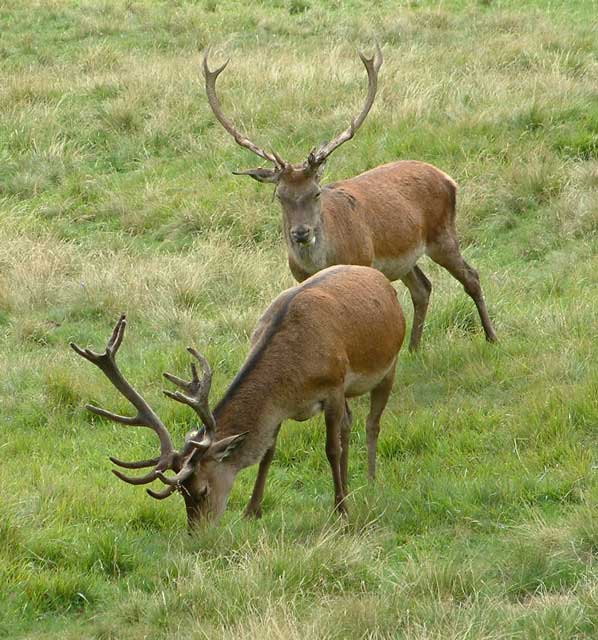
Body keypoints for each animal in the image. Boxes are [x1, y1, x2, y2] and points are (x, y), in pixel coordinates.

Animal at [71, 264, 408, 524]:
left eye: (202, 490)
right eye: (181, 493)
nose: (198, 534)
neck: (294, 378)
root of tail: (379, 277)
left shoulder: (334, 387)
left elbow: (330, 448)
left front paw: (341, 511)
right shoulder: (279, 408)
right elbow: (268, 451)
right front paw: (251, 510)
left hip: (388, 365)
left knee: (371, 423)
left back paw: (369, 482)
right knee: (349, 423)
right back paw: (350, 484)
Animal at [204, 46, 500, 350]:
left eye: (316, 192)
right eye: (280, 196)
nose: (301, 233)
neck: (321, 261)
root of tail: (447, 177)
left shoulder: (363, 261)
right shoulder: (297, 277)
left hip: (442, 235)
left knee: (471, 276)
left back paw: (491, 336)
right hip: (406, 258)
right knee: (423, 287)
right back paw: (414, 348)